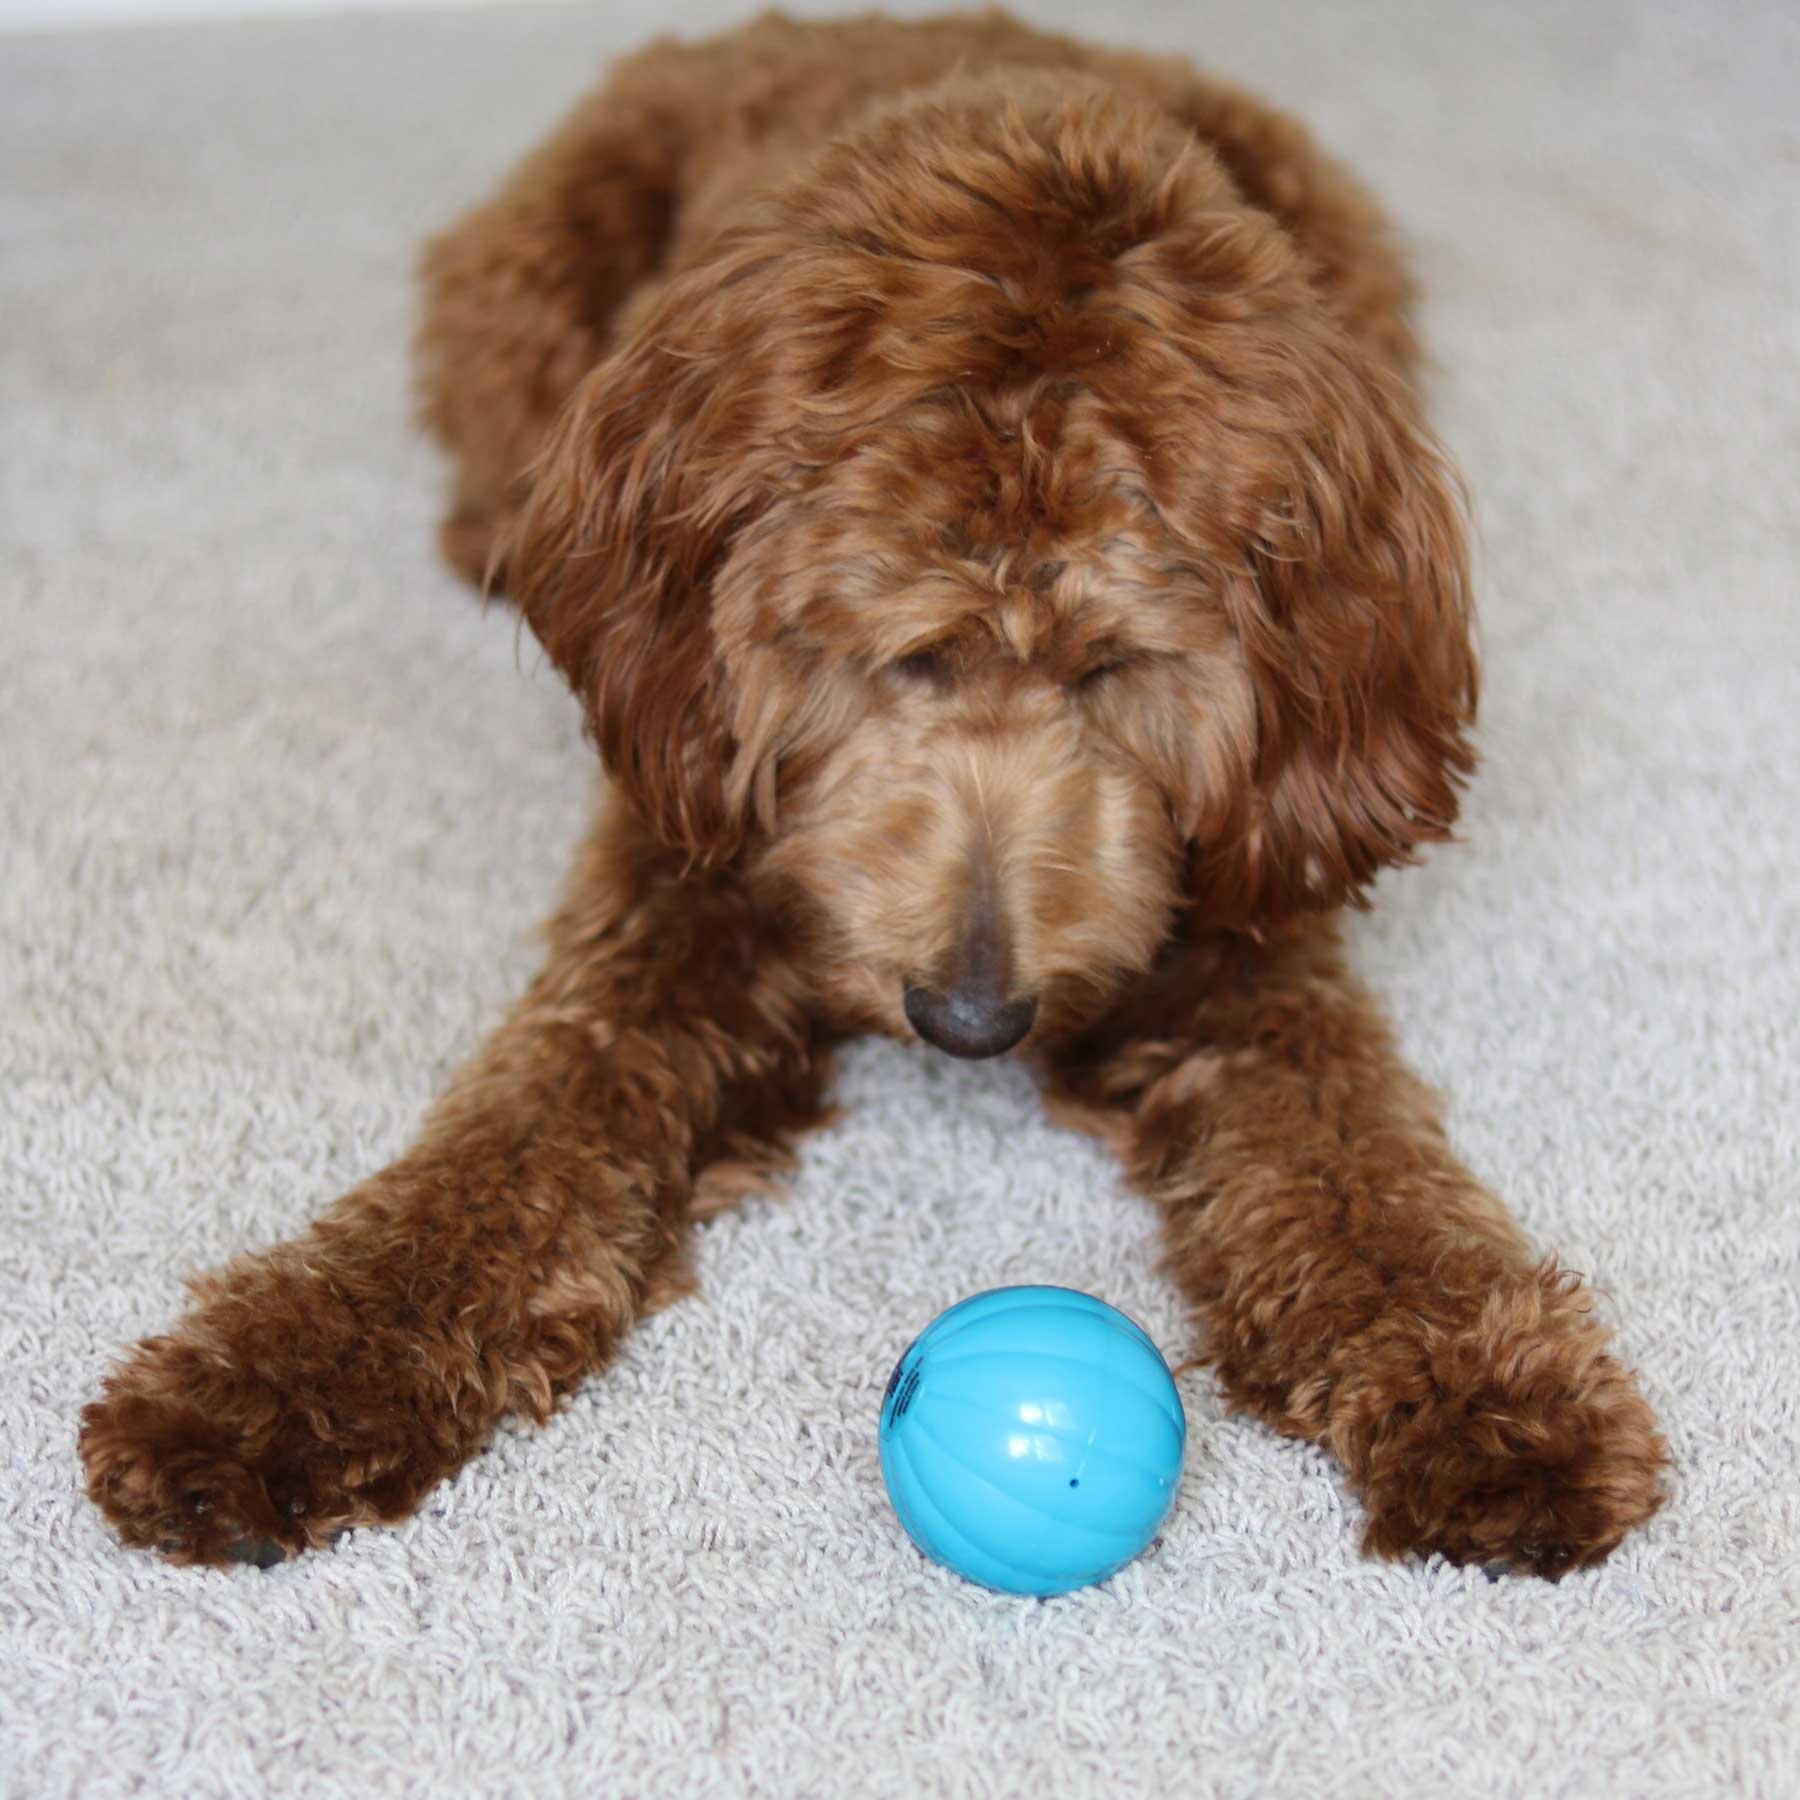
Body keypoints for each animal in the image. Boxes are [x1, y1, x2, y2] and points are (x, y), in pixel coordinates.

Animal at [81, 21, 1656, 1584]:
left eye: (1114, 665)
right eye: (906, 648)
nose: (971, 1019)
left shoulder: (1240, 943)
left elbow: (1353, 1164)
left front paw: (1492, 1391)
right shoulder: (675, 878)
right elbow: (515, 1144)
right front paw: (284, 1369)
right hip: (527, 274)